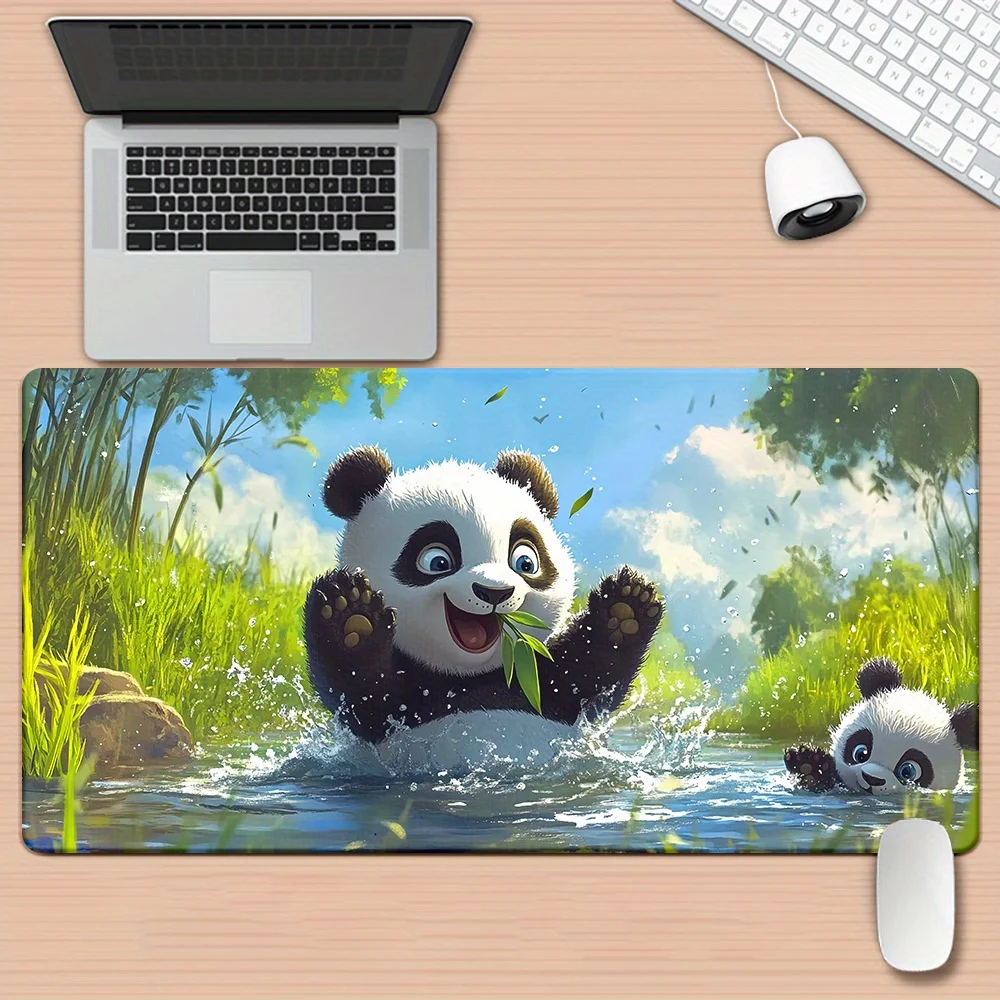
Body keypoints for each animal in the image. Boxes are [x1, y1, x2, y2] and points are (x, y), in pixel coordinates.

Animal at [304, 445, 664, 745]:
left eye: (525, 561)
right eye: (437, 561)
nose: (494, 592)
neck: (469, 677)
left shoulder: (542, 681)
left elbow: (591, 678)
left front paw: (625, 607)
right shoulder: (402, 706)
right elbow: (363, 697)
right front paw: (352, 615)